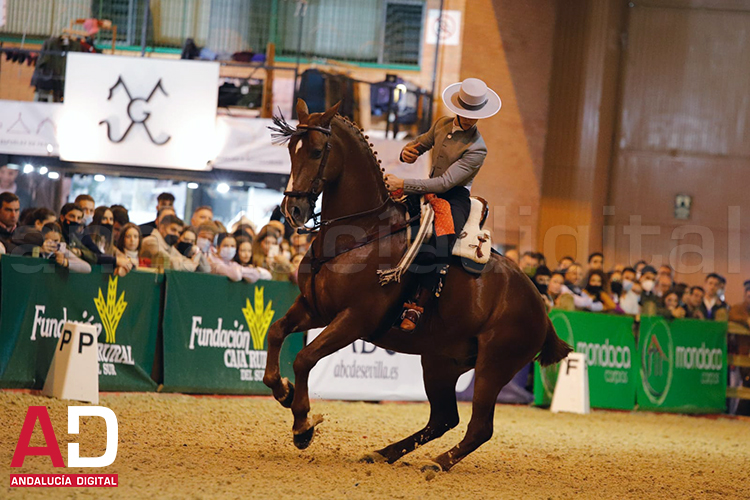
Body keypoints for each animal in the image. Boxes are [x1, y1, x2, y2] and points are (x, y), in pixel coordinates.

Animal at [263, 99, 571, 473]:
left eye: (317, 150)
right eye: (292, 149)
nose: (293, 209)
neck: (362, 234)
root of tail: (540, 305)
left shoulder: (353, 319)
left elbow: (305, 358)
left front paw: (303, 425)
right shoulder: (313, 308)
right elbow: (276, 332)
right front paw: (283, 390)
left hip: (493, 367)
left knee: (479, 427)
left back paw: (439, 463)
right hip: (441, 362)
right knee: (443, 419)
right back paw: (384, 452)